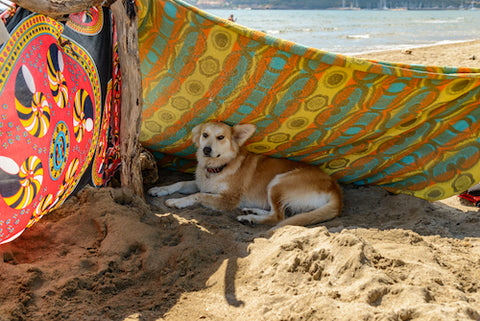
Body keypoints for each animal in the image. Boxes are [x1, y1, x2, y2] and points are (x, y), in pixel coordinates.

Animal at [148, 120, 344, 228]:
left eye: (221, 137)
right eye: (205, 134)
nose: (206, 150)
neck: (218, 168)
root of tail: (335, 187)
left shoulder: (228, 199)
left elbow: (198, 195)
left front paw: (177, 201)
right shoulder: (201, 183)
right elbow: (180, 184)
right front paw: (159, 189)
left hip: (278, 183)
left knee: (278, 217)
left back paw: (250, 218)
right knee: (277, 212)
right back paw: (252, 211)